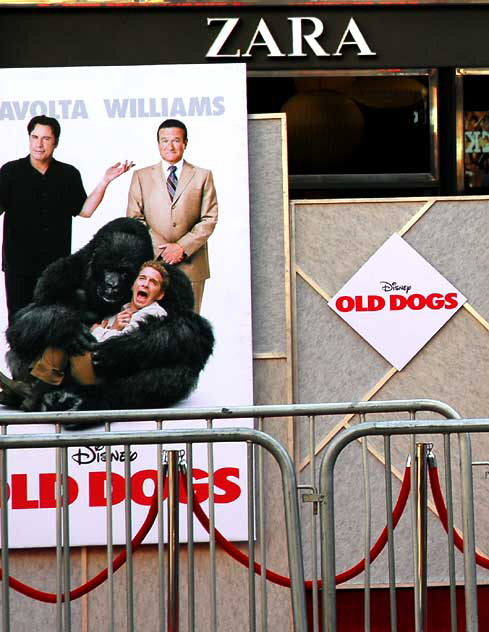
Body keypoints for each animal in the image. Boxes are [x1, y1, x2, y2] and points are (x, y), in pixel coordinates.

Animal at [3, 217, 214, 412]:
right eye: (108, 268)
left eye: (124, 272)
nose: (112, 284)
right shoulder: (56, 275)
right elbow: (22, 322)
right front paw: (69, 327)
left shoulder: (179, 284)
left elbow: (193, 328)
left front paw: (122, 349)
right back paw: (34, 394)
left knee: (182, 358)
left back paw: (92, 399)